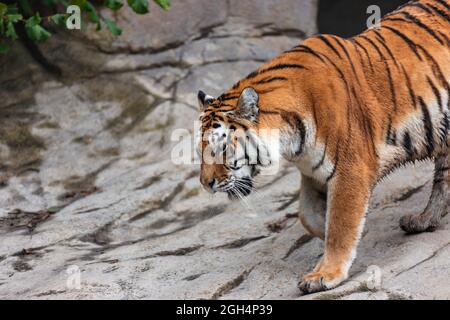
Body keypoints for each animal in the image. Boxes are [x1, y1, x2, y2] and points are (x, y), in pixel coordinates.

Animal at [195, 0, 448, 296]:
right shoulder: (313, 171)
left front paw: (325, 274)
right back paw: (424, 220)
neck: (291, 140)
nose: (205, 184)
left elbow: (340, 223)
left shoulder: (351, 168)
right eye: (200, 151)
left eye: (221, 148)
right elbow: (308, 215)